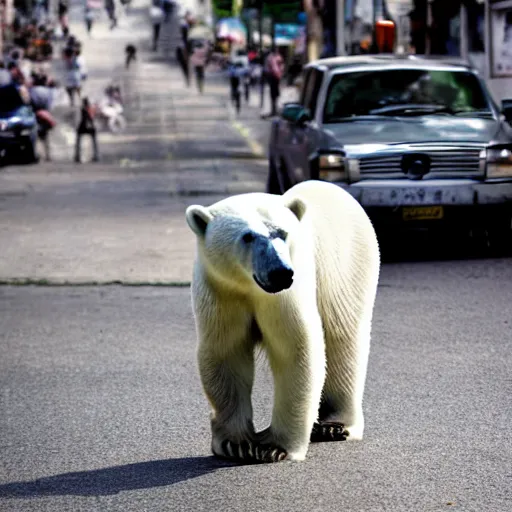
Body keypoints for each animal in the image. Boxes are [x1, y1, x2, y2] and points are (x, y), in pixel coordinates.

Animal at [186, 181, 378, 464]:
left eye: (283, 233)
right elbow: (226, 352)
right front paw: (236, 444)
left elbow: (296, 349)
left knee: (343, 337)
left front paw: (273, 447)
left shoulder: (286, 296)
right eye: (247, 236)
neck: (249, 287)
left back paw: (333, 426)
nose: (280, 272)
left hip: (345, 267)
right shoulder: (221, 291)